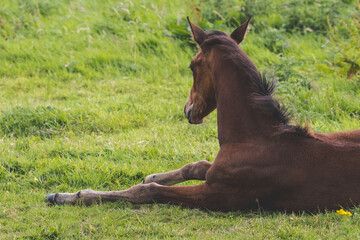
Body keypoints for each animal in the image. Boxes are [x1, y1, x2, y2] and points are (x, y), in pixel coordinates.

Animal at [45, 16, 360, 211]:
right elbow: (194, 165)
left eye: (191, 66)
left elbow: (146, 192)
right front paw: (153, 175)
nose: (188, 110)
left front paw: (66, 196)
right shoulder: (213, 174)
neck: (256, 139)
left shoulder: (216, 194)